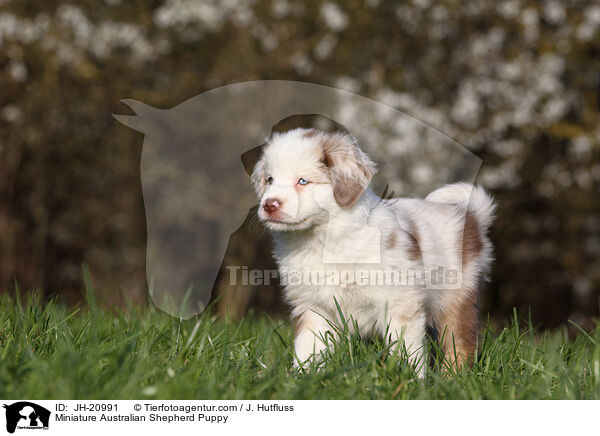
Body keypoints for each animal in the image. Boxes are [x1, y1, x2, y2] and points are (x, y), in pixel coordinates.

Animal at [250, 127, 496, 374]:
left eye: (303, 181)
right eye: (270, 180)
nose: (269, 205)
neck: (322, 238)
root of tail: (470, 215)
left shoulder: (399, 301)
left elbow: (406, 348)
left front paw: (408, 378)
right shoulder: (312, 306)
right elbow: (308, 347)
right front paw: (303, 377)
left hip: (457, 295)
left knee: (460, 342)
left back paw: (453, 376)